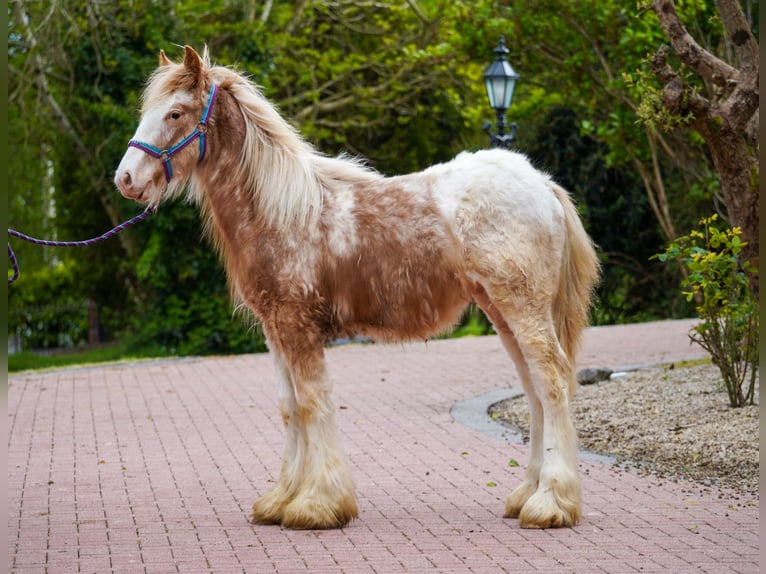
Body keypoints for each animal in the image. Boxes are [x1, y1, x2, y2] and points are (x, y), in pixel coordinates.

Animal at [115, 46, 600, 530]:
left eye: (175, 113)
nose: (125, 179)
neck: (281, 210)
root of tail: (542, 184)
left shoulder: (299, 327)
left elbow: (312, 404)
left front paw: (317, 504)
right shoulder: (275, 329)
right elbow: (289, 407)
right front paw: (281, 500)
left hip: (523, 308)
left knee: (552, 381)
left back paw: (551, 503)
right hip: (501, 312)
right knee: (533, 389)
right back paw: (528, 494)